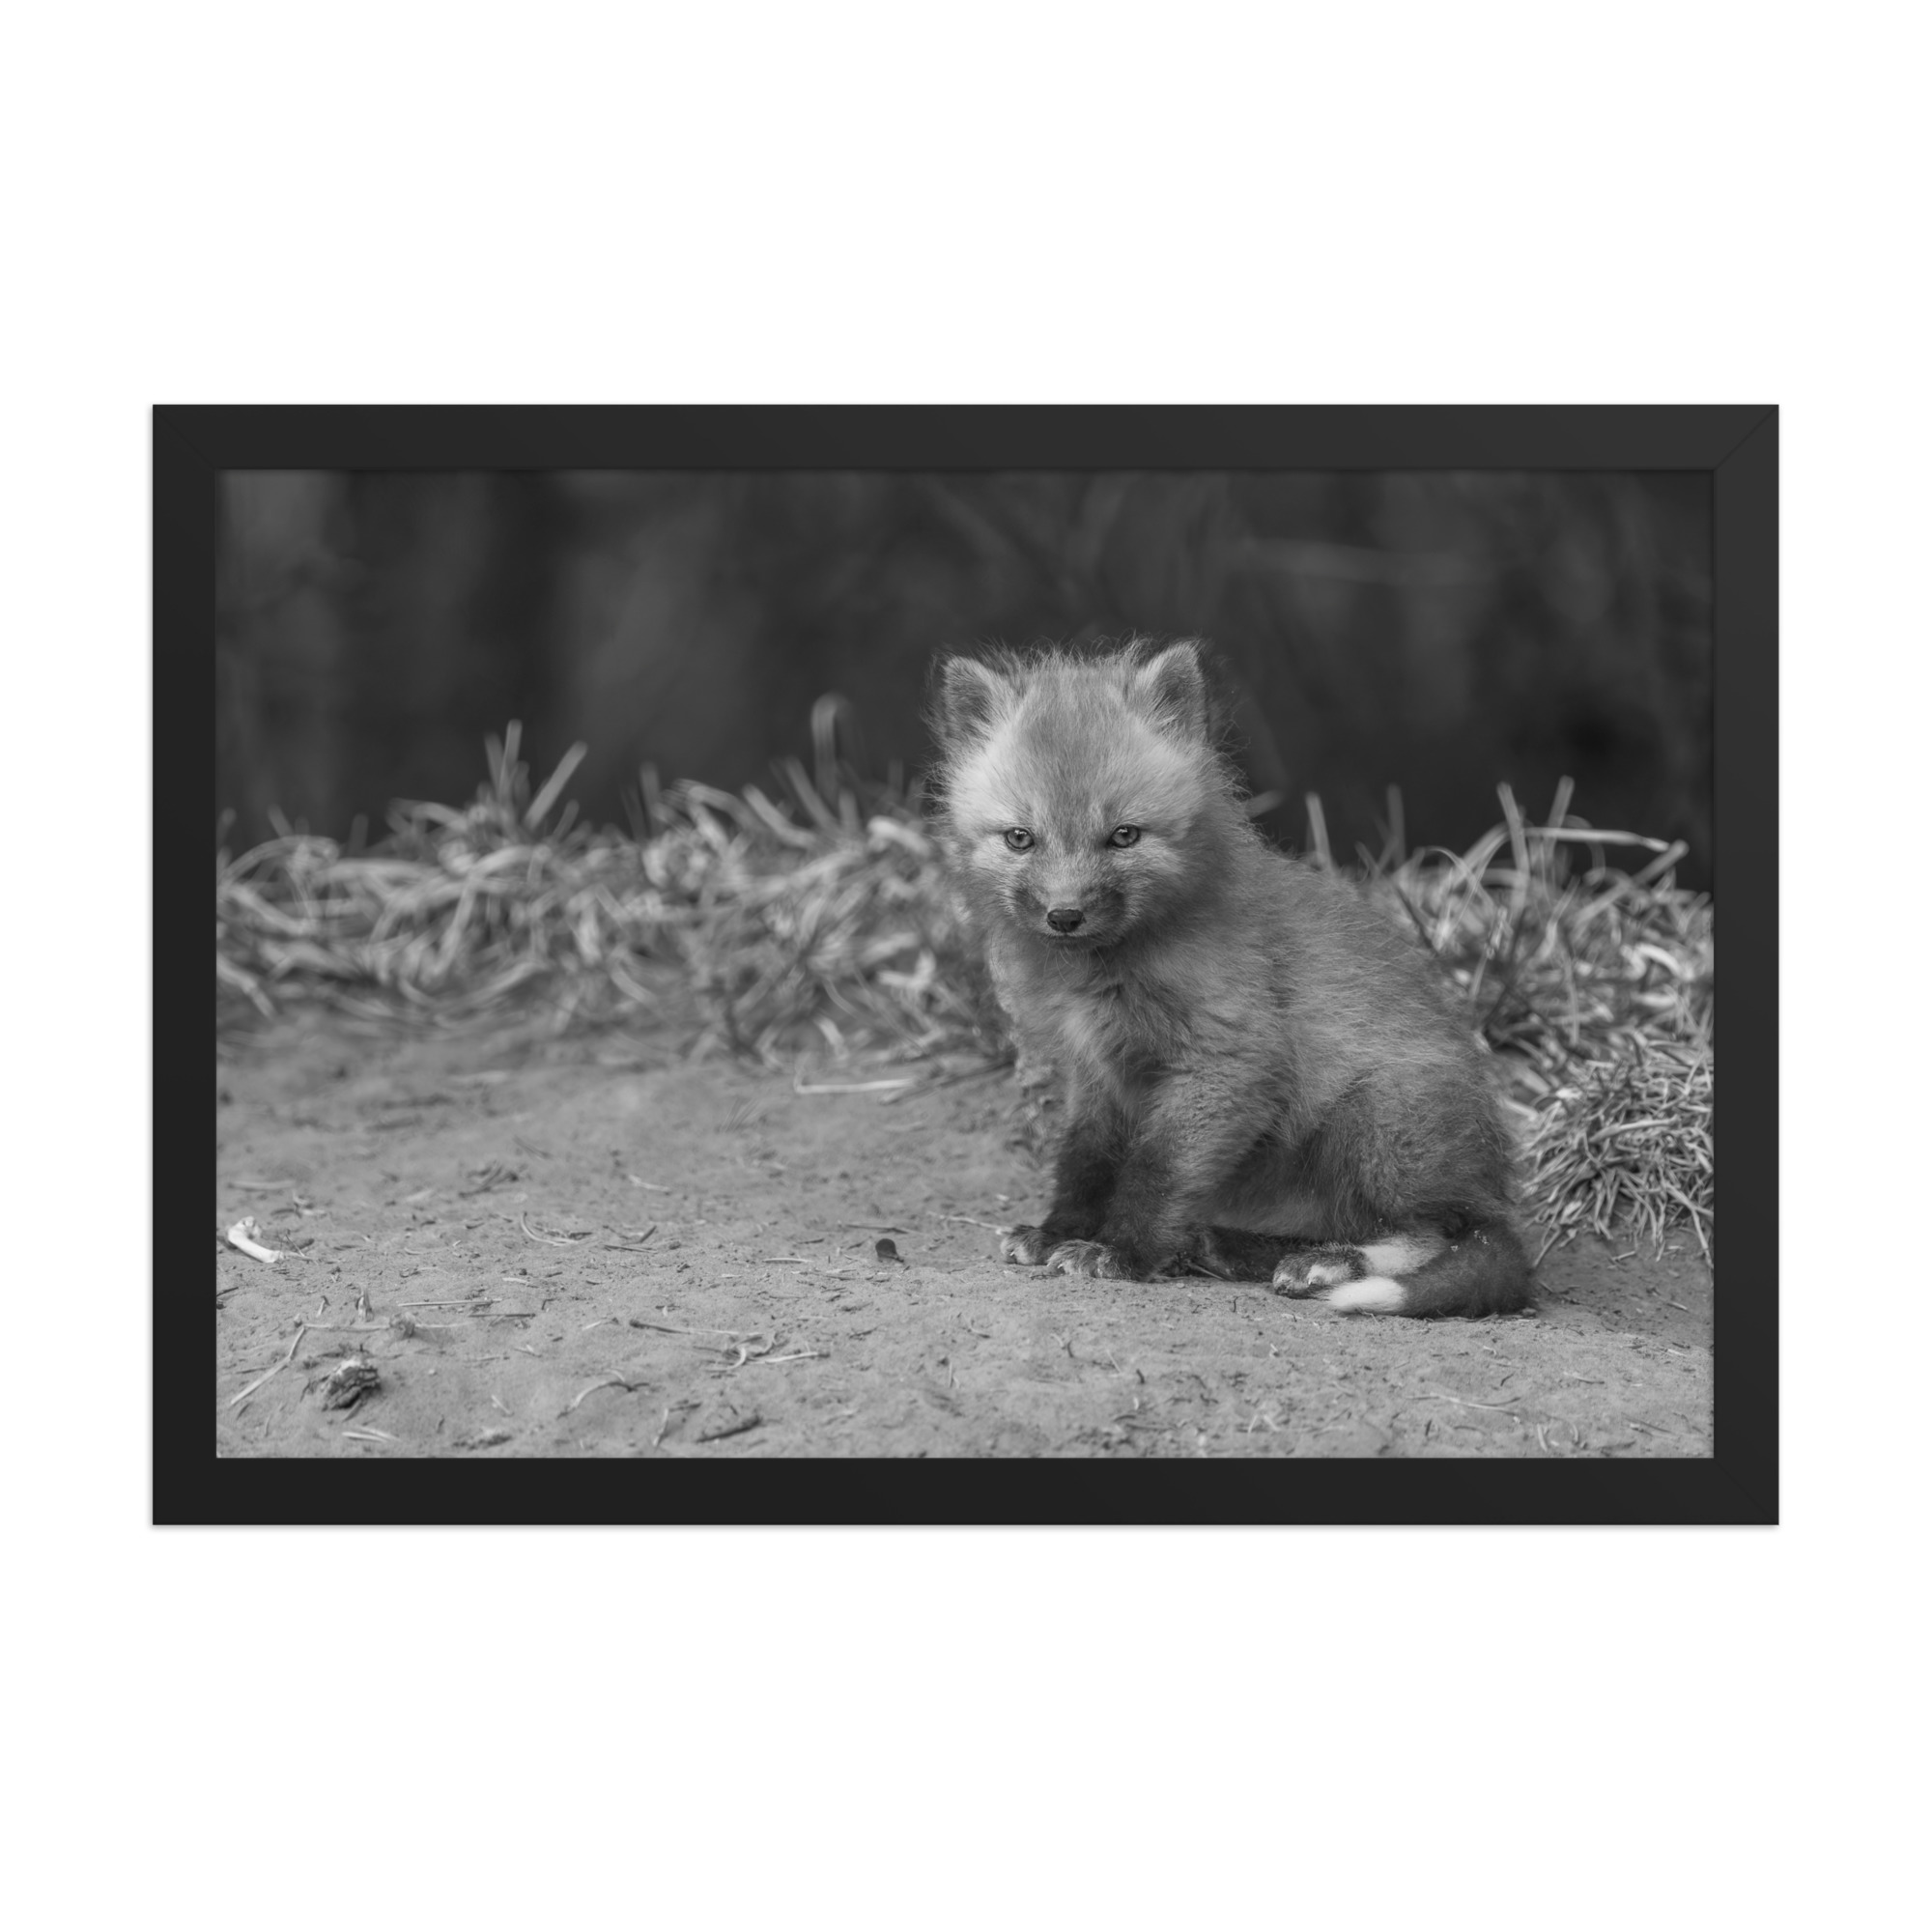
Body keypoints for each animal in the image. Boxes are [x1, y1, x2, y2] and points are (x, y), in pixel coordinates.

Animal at [927, 637, 1533, 1317]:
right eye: (1020, 838)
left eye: (1124, 836)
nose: (1065, 915)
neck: (1106, 974)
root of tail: (1491, 1183)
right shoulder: (1097, 1073)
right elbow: (1085, 1162)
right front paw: (1059, 1231)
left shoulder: (1227, 1061)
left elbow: (1156, 1170)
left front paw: (1121, 1252)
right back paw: (1231, 1247)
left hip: (1373, 1121)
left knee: (1443, 1234)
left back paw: (1327, 1265)